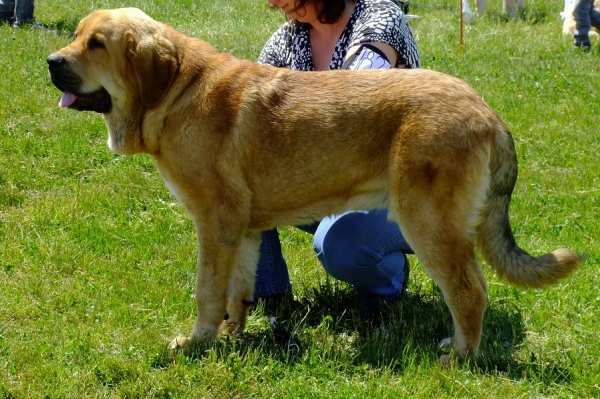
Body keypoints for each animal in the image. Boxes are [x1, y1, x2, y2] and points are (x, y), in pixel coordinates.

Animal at [49, 8, 580, 360]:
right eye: (76, 37)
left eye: (97, 45)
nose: (52, 62)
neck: (176, 90)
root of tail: (487, 113)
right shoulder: (243, 229)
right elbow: (237, 291)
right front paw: (233, 337)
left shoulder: (214, 223)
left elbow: (208, 291)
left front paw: (197, 342)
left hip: (429, 225)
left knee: (470, 291)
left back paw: (459, 357)